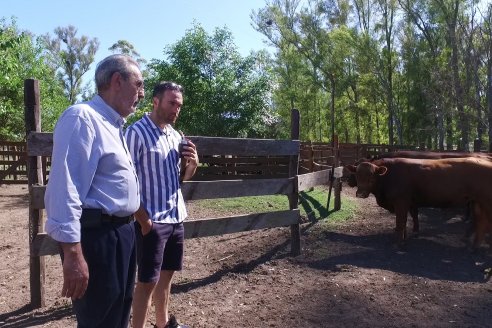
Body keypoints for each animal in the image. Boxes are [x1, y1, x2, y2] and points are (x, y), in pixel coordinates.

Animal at [346, 158, 492, 247]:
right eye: (357, 175)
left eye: (371, 177)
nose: (360, 194)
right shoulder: (408, 203)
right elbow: (405, 221)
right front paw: (404, 238)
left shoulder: (401, 202)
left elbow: (400, 222)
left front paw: (398, 243)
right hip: (477, 202)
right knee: (481, 223)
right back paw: (472, 247)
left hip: (486, 202)